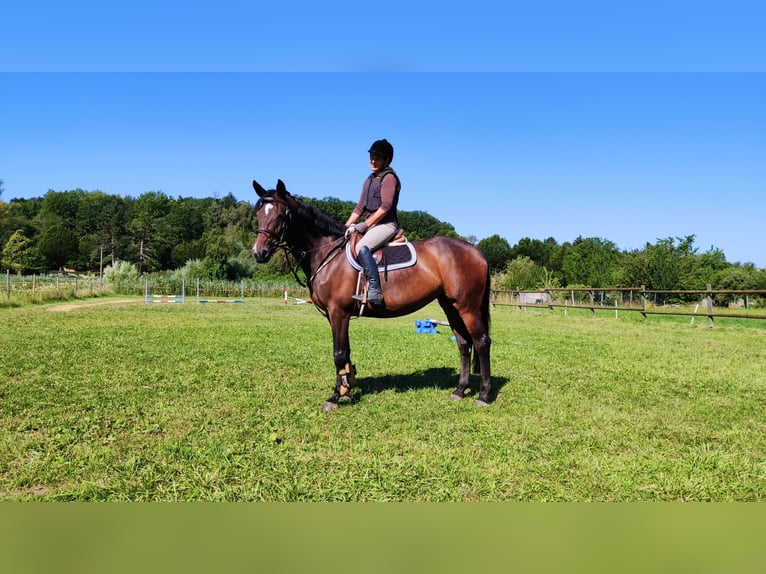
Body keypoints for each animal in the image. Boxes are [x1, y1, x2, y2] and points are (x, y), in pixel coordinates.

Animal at [252, 180, 492, 414]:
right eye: (259, 214)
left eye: (281, 216)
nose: (258, 253)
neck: (328, 253)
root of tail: (476, 251)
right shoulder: (336, 315)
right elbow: (346, 352)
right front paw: (346, 387)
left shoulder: (338, 312)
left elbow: (339, 353)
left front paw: (335, 396)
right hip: (450, 306)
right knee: (463, 344)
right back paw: (460, 390)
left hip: (467, 307)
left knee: (481, 342)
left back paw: (483, 395)